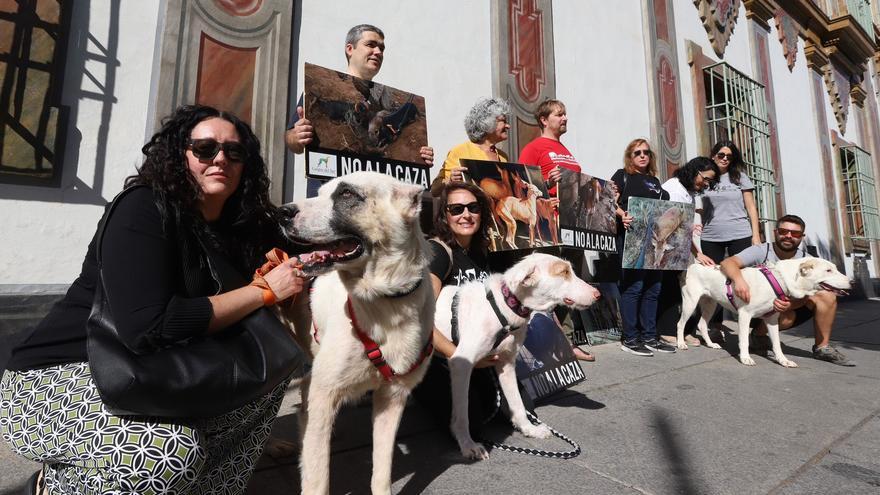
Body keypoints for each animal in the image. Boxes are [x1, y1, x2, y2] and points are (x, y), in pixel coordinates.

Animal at [278, 172, 434, 494]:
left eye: (347, 194)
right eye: (320, 192)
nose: (281, 213)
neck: (384, 303)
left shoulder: (393, 397)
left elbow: (382, 470)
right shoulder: (324, 393)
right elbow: (317, 477)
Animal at [432, 256, 600, 462]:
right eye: (563, 272)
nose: (598, 294)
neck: (504, 307)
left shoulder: (505, 364)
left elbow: (517, 404)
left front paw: (529, 429)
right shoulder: (460, 364)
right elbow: (463, 413)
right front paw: (467, 444)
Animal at [676, 258, 848, 366]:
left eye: (835, 269)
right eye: (828, 270)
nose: (851, 282)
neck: (779, 278)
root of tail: (692, 266)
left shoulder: (772, 319)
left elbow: (777, 344)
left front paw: (783, 360)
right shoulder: (744, 315)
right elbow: (744, 340)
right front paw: (745, 358)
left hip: (710, 304)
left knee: (702, 325)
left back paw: (711, 344)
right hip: (690, 302)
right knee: (680, 324)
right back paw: (681, 343)